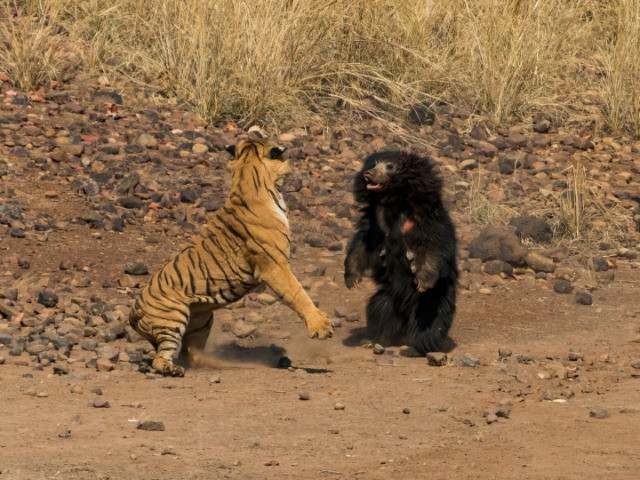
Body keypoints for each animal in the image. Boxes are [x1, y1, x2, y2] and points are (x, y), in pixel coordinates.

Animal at [129, 139, 334, 377]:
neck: (248, 173)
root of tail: (132, 311)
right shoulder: (275, 267)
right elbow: (298, 294)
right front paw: (321, 326)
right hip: (173, 318)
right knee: (160, 359)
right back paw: (173, 370)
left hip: (202, 320)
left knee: (191, 355)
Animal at [344, 150, 458, 354]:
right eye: (373, 164)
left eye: (390, 167)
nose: (368, 175)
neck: (394, 202)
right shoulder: (376, 220)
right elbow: (363, 245)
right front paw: (352, 280)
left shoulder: (426, 219)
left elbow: (432, 247)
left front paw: (423, 282)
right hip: (389, 296)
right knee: (380, 309)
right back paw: (377, 340)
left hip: (437, 297)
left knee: (429, 321)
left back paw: (416, 349)